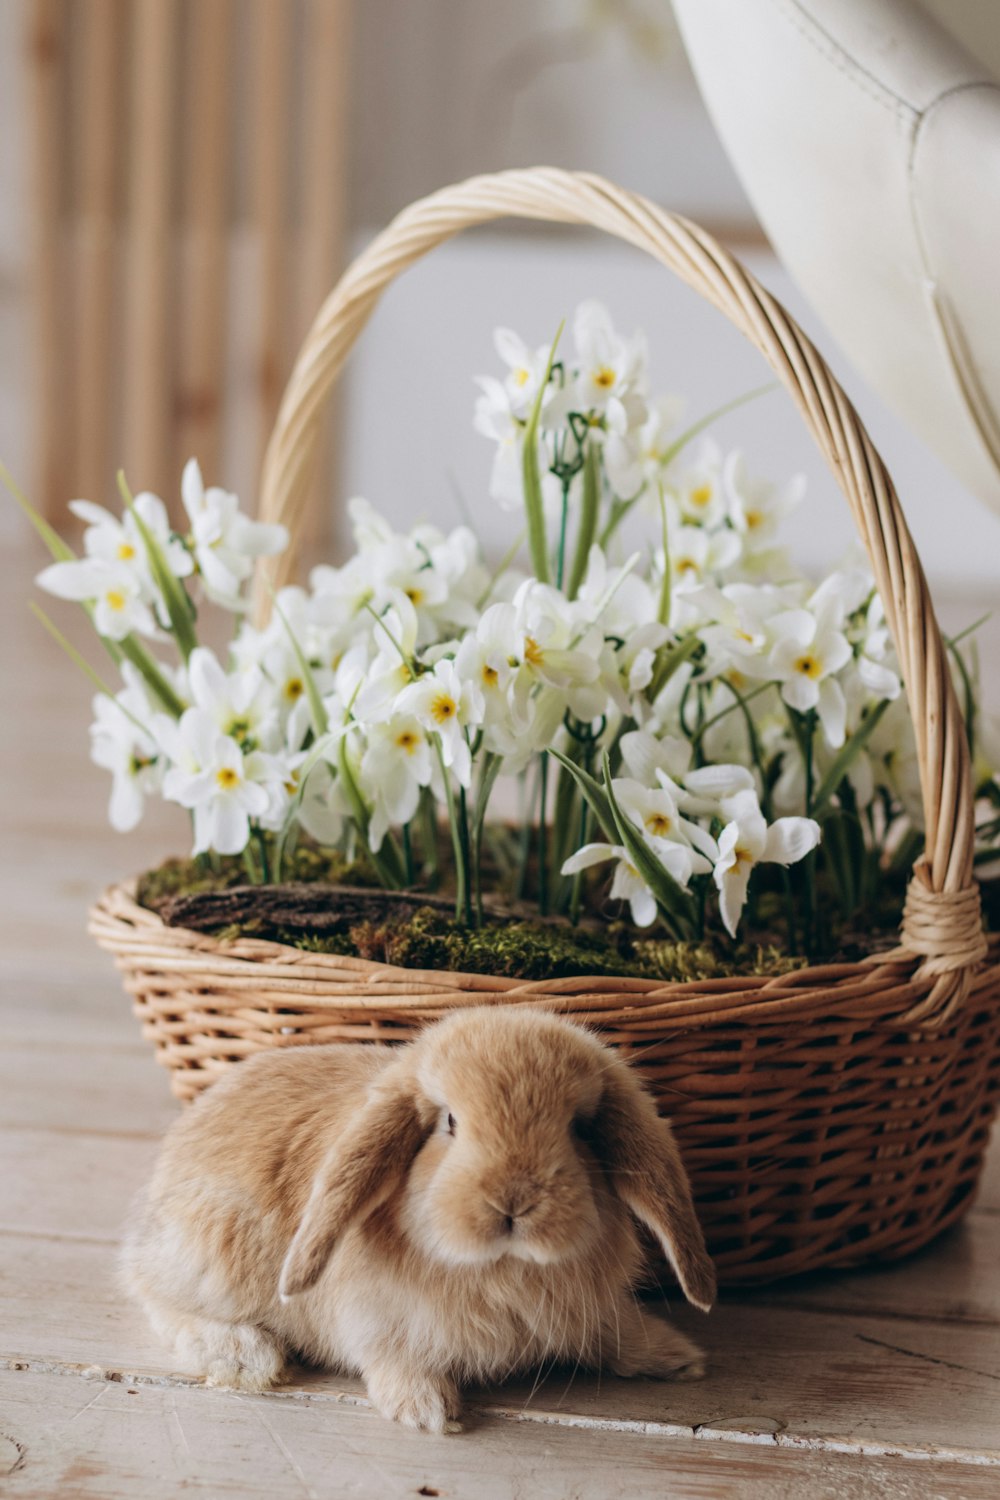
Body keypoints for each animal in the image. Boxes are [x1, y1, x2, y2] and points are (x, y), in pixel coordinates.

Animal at [121, 1008, 716, 1428]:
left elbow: (614, 1334)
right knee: (154, 1298)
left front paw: (677, 1356)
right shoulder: (373, 1321)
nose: (514, 1201)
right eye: (450, 1121)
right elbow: (392, 1358)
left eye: (578, 1127)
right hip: (212, 1253)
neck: (502, 1270)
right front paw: (427, 1408)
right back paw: (251, 1358)